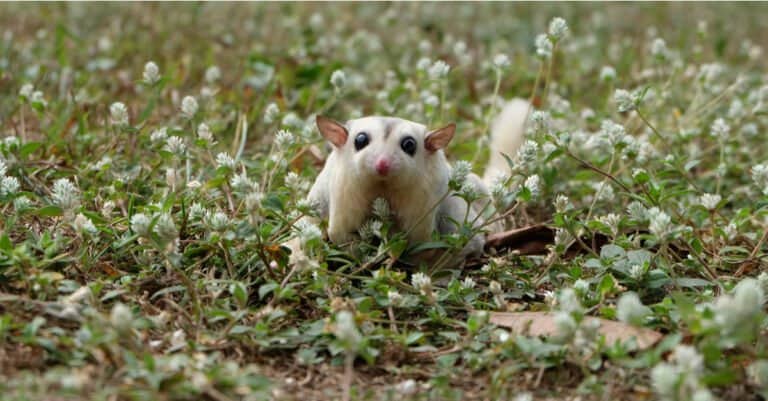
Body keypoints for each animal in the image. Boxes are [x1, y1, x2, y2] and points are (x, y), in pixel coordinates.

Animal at [294, 98, 530, 266]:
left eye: (409, 145)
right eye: (360, 140)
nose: (382, 164)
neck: (382, 186)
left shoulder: (425, 203)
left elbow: (426, 245)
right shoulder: (345, 191)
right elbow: (342, 235)